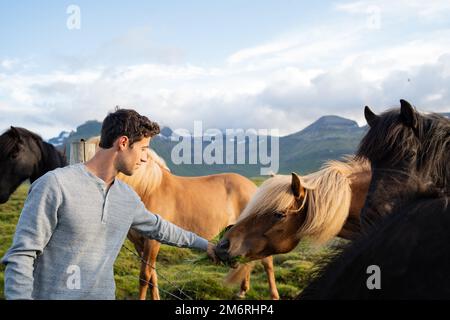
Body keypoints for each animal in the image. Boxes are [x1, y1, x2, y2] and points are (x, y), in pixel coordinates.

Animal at [86, 137, 280, 300]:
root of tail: (254, 188)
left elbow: (144, 277)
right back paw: (242, 290)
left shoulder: (152, 242)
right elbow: (152, 277)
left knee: (267, 263)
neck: (148, 189)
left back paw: (273, 295)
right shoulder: (140, 243)